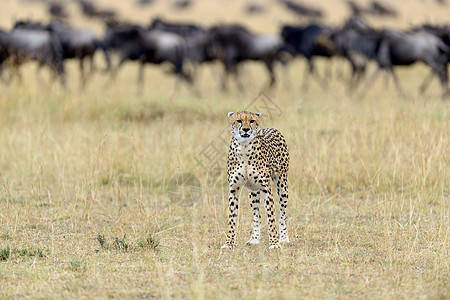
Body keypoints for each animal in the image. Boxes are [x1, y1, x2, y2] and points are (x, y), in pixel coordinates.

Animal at [222, 111, 292, 250]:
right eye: (239, 120)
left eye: (252, 121)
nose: (245, 129)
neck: (244, 148)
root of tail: (272, 128)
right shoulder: (233, 189)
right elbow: (232, 218)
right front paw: (229, 243)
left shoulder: (266, 189)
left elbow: (271, 217)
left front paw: (274, 243)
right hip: (253, 192)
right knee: (257, 215)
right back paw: (254, 239)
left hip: (282, 186)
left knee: (282, 214)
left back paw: (283, 238)